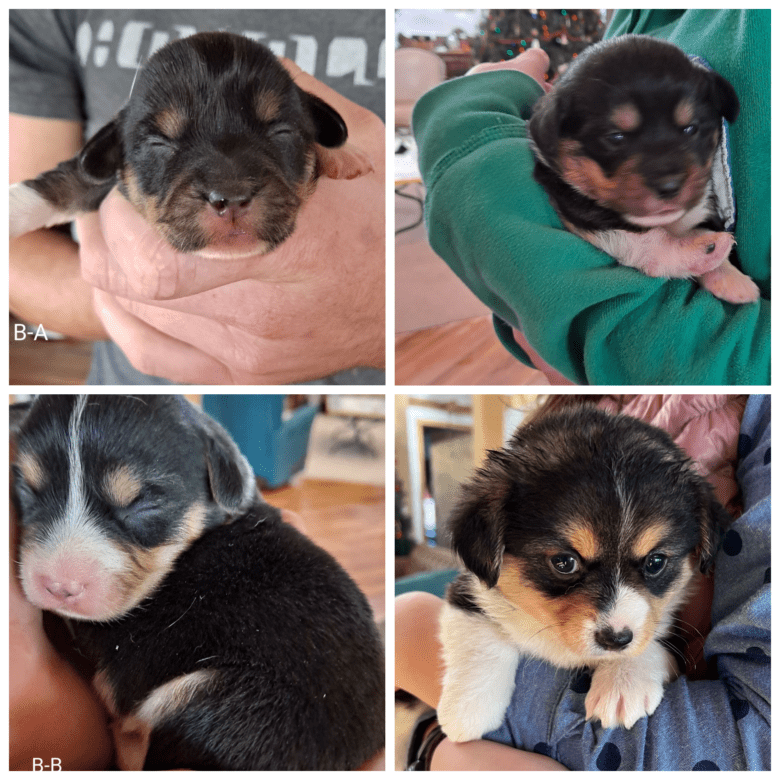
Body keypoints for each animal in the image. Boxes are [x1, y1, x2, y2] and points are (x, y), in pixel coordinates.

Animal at [436, 406, 728, 740]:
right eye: (564, 562)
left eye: (655, 562)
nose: (615, 639)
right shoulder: (469, 590)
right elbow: (480, 638)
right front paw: (466, 711)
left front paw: (623, 682)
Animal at [528, 35, 760, 304]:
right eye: (615, 137)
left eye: (690, 129)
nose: (669, 186)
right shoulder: (572, 202)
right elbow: (635, 238)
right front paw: (702, 251)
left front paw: (727, 275)